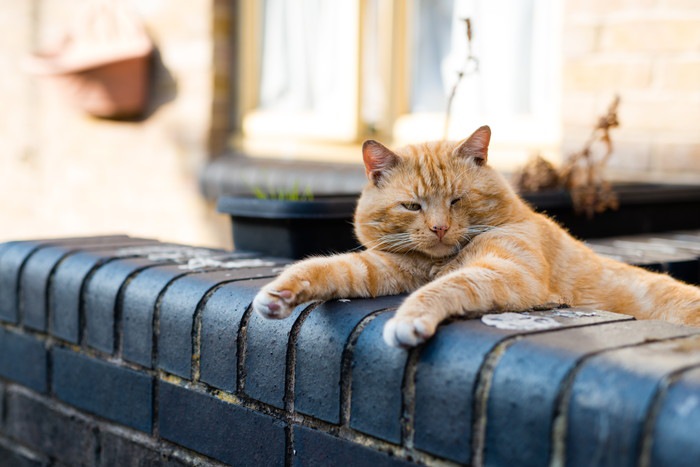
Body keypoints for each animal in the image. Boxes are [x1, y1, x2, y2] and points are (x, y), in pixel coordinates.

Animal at [254, 125, 700, 348]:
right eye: (412, 206)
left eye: (456, 200)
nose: (439, 227)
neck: (438, 262)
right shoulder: (385, 266)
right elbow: (332, 267)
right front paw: (278, 294)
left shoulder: (509, 272)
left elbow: (446, 287)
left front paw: (409, 320)